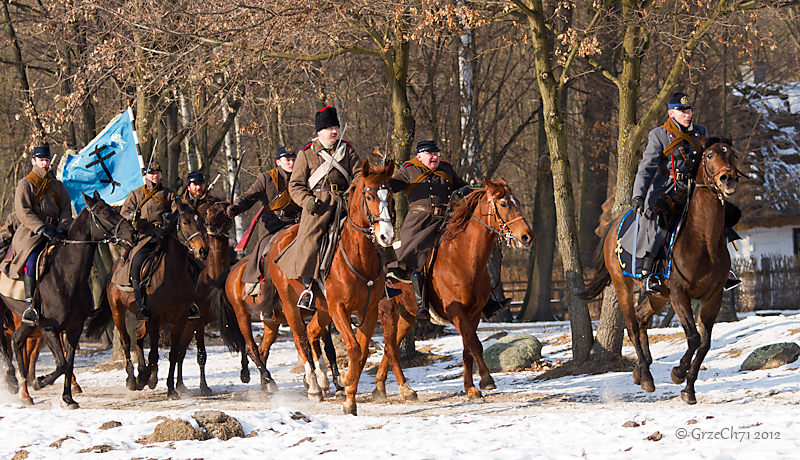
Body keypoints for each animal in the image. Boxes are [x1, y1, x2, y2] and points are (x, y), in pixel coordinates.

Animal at [0, 192, 135, 408]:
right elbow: (62, 363)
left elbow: (68, 363)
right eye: (105, 212)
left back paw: (22, 388)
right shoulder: (49, 328)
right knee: (7, 344)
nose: (133, 233)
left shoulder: (74, 329)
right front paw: (40, 382)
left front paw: (68, 397)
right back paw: (16, 382)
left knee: (16, 342)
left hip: (26, 323)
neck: (65, 275)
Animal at [87, 199, 208, 398]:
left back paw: (143, 374)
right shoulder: (155, 320)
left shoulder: (179, 321)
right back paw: (132, 378)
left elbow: (173, 354)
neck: (173, 276)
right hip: (118, 311)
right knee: (126, 340)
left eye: (202, 221)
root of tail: (114, 268)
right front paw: (149, 378)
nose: (203, 250)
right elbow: (154, 354)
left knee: (137, 336)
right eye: (185, 222)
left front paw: (170, 388)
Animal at [266, 160, 396, 416]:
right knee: (300, 337)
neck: (359, 258)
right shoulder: (339, 309)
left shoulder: (368, 311)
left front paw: (349, 397)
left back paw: (323, 381)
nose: (386, 236)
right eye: (369, 196)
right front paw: (346, 385)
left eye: (390, 194)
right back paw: (314, 386)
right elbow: (354, 349)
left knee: (312, 332)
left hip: (323, 309)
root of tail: (277, 239)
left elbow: (362, 352)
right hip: (291, 304)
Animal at [374, 178, 532, 400]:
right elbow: (475, 344)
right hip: (387, 311)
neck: (464, 257)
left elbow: (468, 350)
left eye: (516, 201)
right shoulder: (457, 312)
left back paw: (380, 387)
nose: (527, 236)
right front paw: (486, 379)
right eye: (503, 204)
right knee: (391, 348)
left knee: (391, 347)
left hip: (407, 316)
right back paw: (406, 389)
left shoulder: (473, 314)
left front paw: (470, 387)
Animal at [580, 139, 740, 402]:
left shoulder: (713, 297)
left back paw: (641, 369)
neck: (703, 239)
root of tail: (614, 225)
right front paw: (678, 372)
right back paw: (645, 375)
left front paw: (689, 389)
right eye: (709, 155)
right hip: (624, 287)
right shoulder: (679, 294)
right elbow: (694, 338)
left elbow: (704, 343)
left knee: (642, 317)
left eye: (733, 155)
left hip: (658, 294)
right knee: (633, 326)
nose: (728, 179)